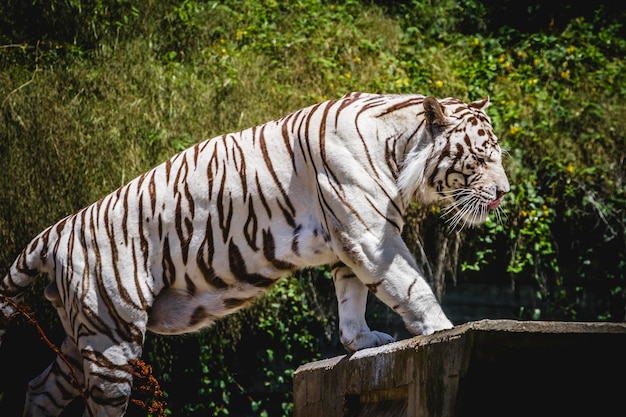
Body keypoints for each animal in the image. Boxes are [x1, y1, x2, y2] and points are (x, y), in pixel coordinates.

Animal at [0, 92, 508, 414]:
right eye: (482, 158)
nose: (504, 192)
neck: (399, 148)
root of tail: (56, 231)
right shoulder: (369, 232)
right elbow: (409, 283)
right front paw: (443, 328)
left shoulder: (352, 241)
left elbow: (352, 298)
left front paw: (361, 341)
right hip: (112, 340)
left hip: (85, 332)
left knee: (40, 388)